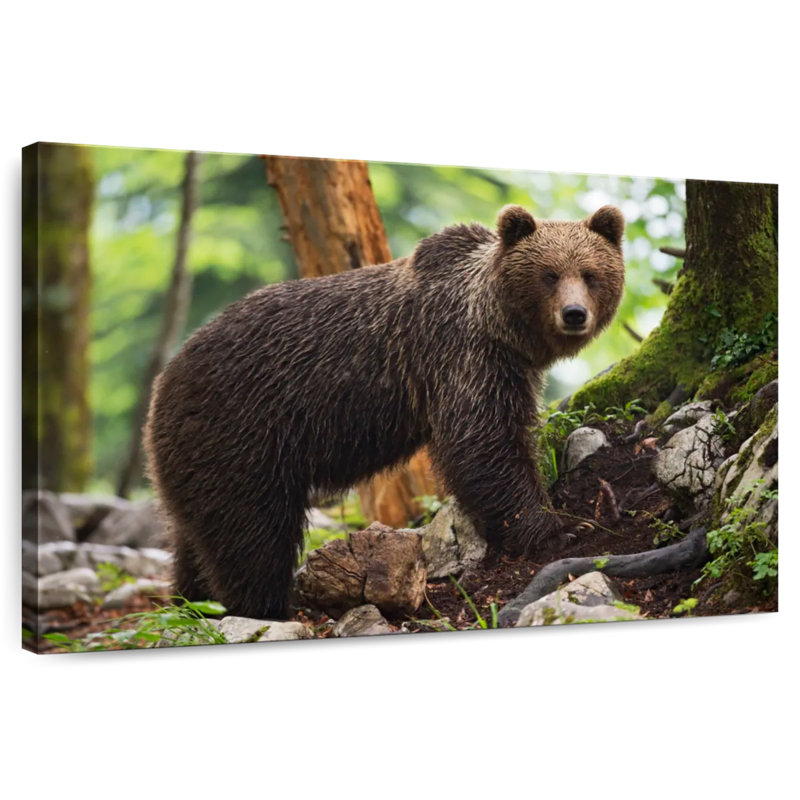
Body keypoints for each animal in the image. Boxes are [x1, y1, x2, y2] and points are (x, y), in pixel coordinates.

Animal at [144, 203, 625, 620]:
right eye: (549, 274)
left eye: (590, 274)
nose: (574, 314)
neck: (500, 325)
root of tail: (162, 384)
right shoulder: (464, 356)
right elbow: (484, 443)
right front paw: (555, 528)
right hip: (242, 435)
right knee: (252, 536)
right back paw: (265, 607)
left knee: (195, 538)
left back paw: (191, 601)